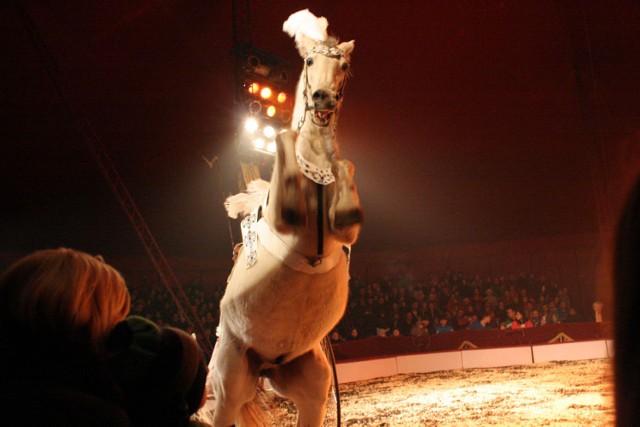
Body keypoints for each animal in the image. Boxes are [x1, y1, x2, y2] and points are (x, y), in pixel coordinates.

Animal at [209, 10, 360, 427]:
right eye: (309, 61)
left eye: (344, 66)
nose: (323, 97)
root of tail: (264, 366)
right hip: (231, 377)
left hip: (310, 381)